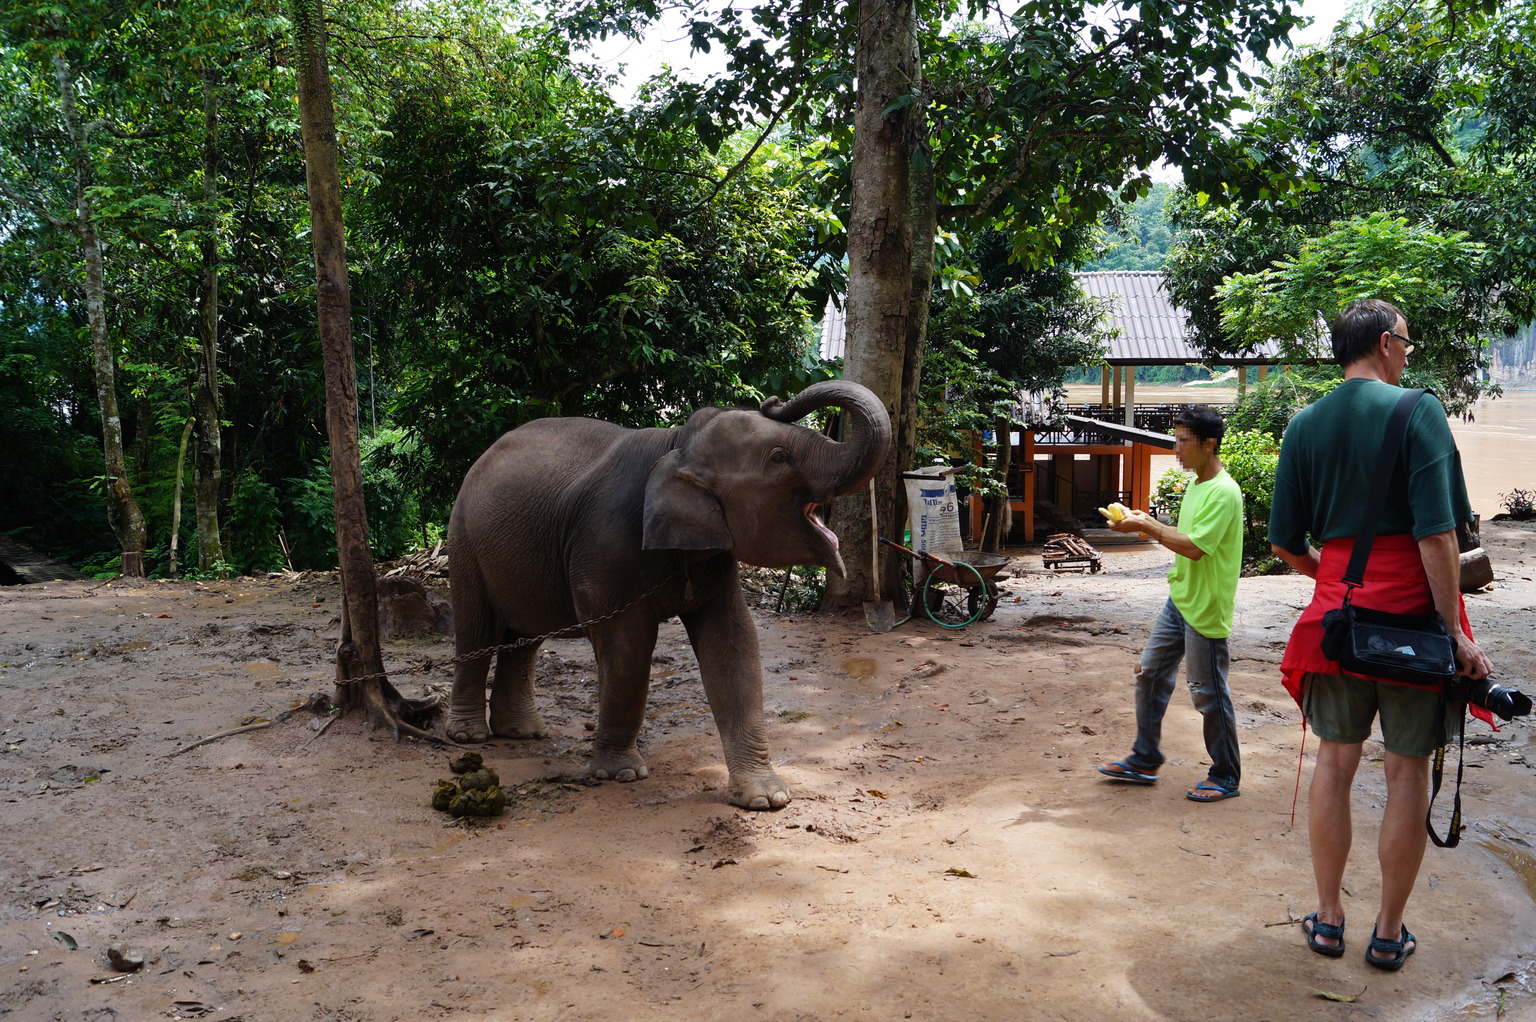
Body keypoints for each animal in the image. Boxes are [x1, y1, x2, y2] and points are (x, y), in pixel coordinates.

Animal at [444, 380, 892, 809]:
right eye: (780, 457)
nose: (772, 399)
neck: (676, 443)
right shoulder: (606, 547)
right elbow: (627, 648)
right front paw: (621, 774)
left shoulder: (713, 555)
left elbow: (734, 643)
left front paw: (766, 798)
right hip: (463, 539)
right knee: (477, 630)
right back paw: (469, 737)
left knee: (524, 638)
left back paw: (524, 732)